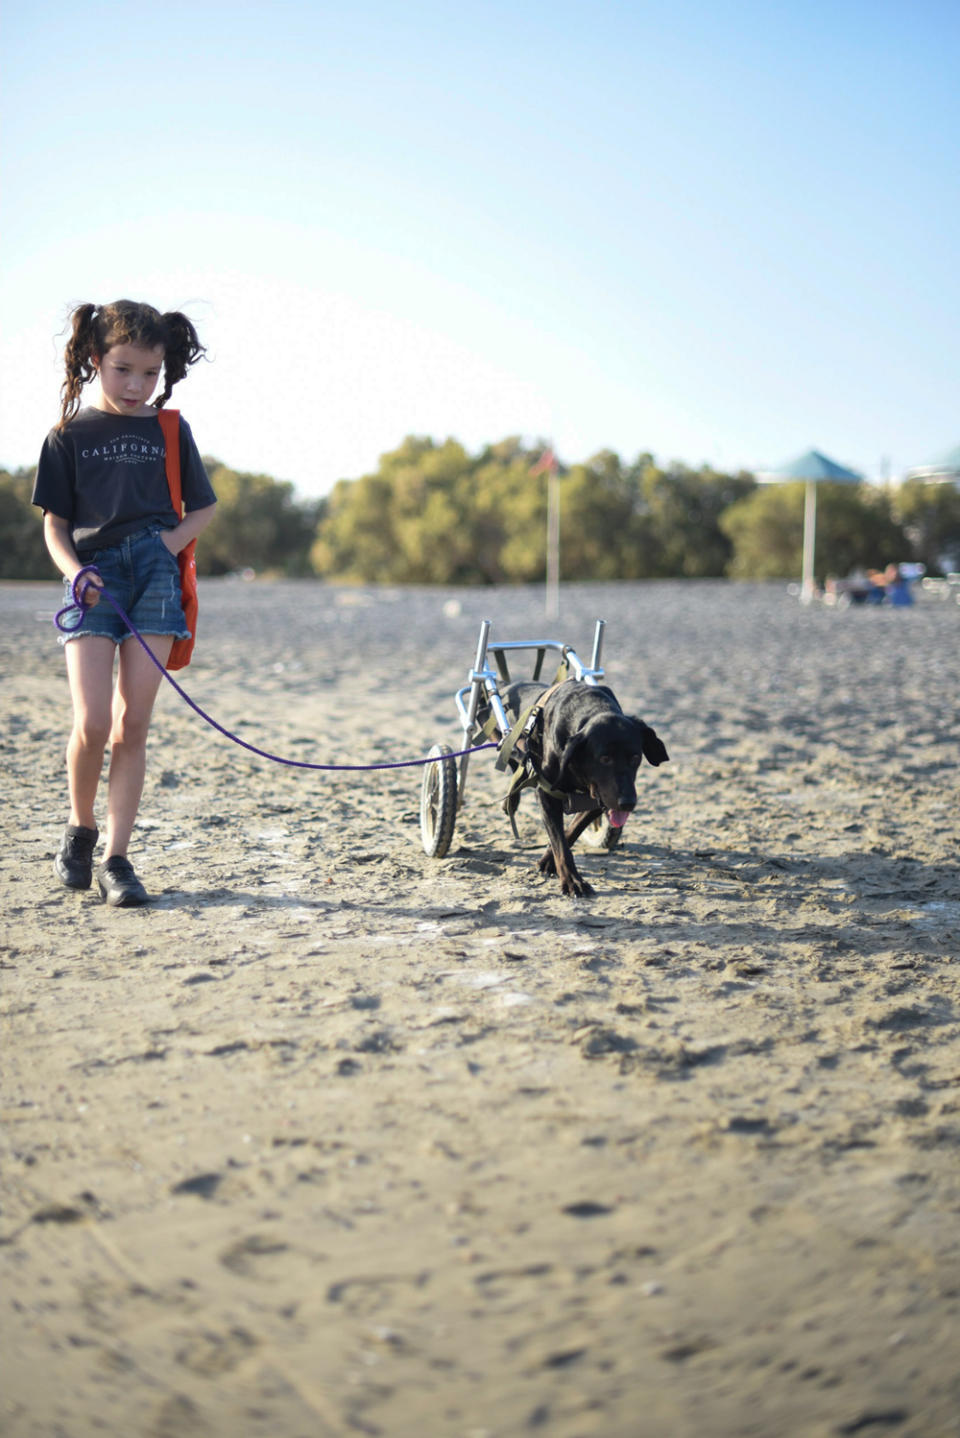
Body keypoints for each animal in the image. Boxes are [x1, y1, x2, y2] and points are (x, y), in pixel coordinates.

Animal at [494, 678, 666, 891]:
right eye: (604, 758)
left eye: (635, 757)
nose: (627, 803)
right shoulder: (547, 793)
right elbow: (560, 842)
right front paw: (572, 880)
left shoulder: (600, 799)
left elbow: (571, 831)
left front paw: (548, 861)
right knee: (514, 760)